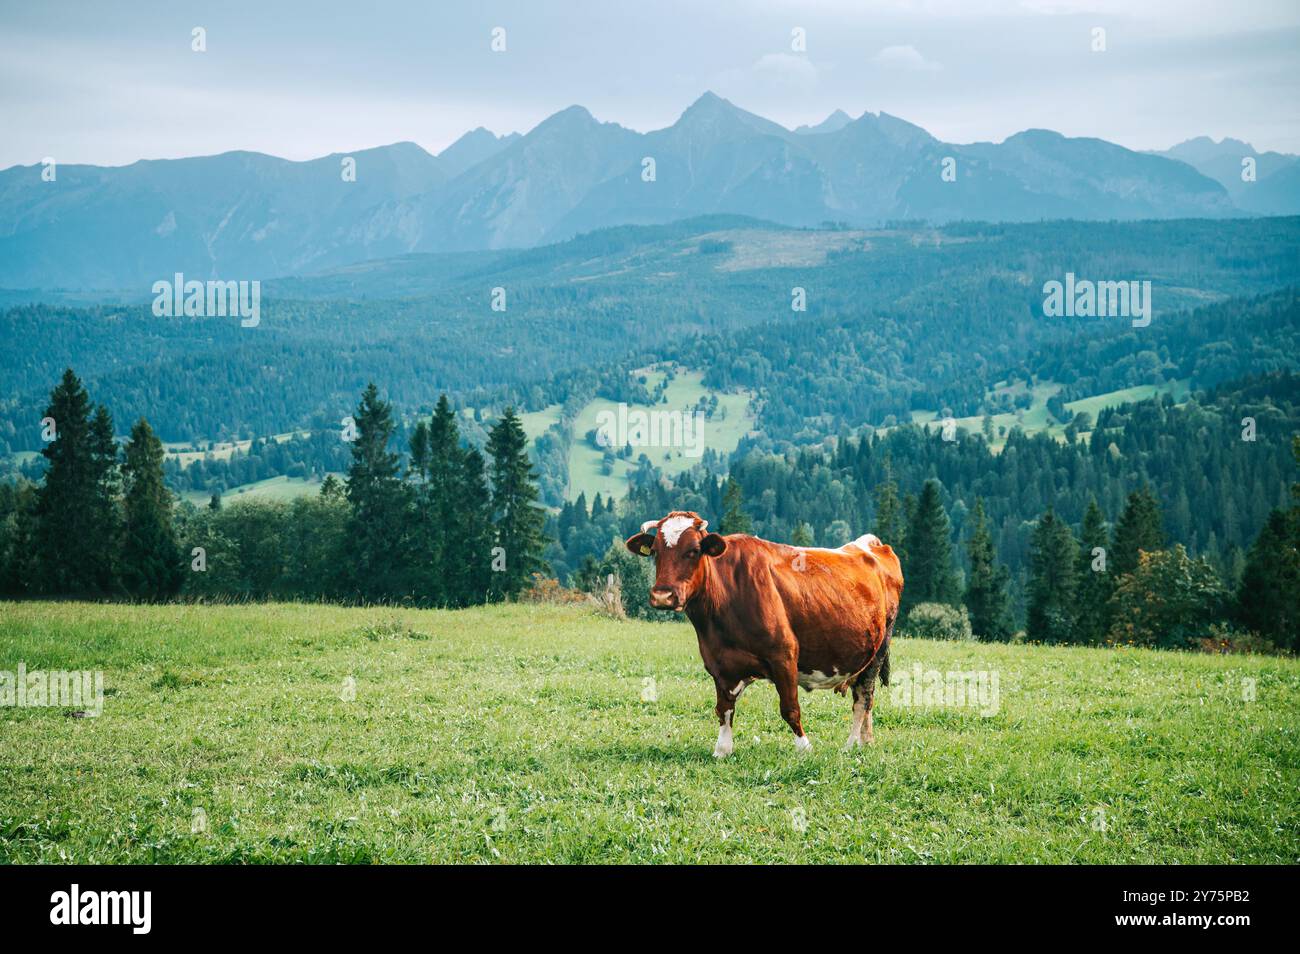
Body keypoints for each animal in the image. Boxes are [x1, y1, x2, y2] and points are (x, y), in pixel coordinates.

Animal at [624, 512, 899, 759]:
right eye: (655, 551)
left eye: (693, 550)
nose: (662, 596)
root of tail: (870, 544)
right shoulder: (718, 662)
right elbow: (724, 709)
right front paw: (722, 749)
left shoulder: (784, 655)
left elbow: (790, 708)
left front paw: (804, 748)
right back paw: (865, 741)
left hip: (877, 650)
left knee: (863, 699)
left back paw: (851, 745)